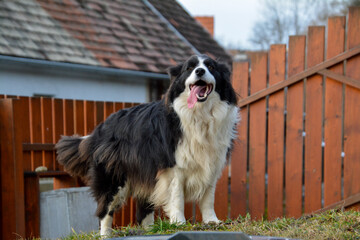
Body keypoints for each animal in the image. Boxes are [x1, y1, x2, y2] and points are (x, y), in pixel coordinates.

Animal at [54, 54, 238, 234]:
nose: (200, 71)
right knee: (105, 210)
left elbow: (208, 197)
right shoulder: (173, 166)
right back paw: (106, 234)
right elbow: (177, 196)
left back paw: (152, 230)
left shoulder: (211, 162)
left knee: (143, 211)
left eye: (211, 67)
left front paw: (212, 221)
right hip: (113, 176)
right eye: (190, 68)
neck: (200, 113)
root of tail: (99, 130)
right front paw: (179, 223)